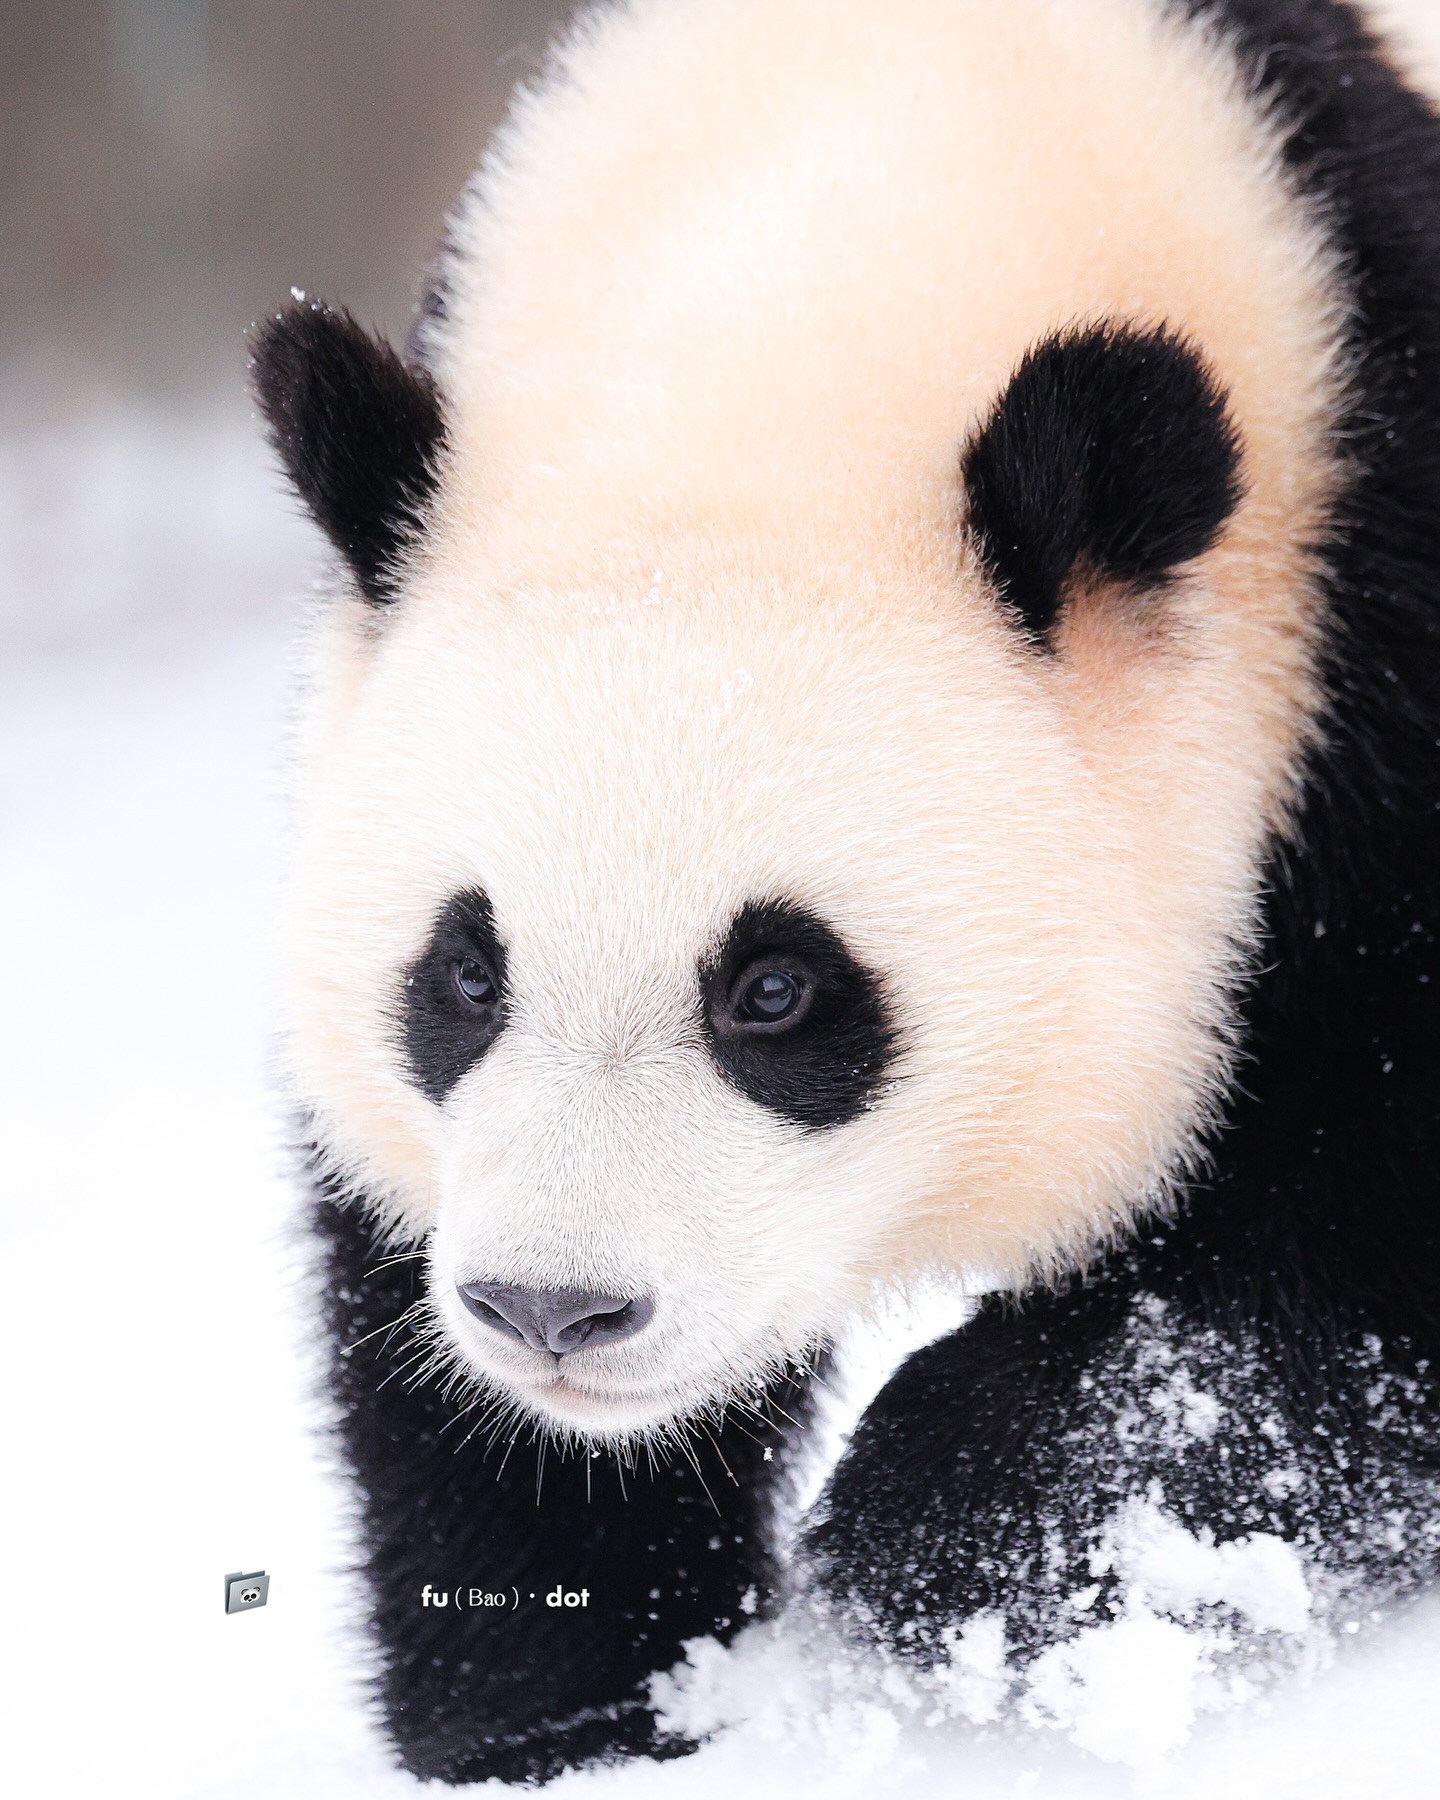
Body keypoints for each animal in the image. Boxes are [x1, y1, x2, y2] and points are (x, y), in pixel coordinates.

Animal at [253, 0, 1440, 1785]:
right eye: (463, 976)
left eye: (776, 990)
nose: (555, 1310)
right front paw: (567, 1705)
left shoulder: (1385, 602)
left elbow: (1352, 1248)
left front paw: (970, 1530)